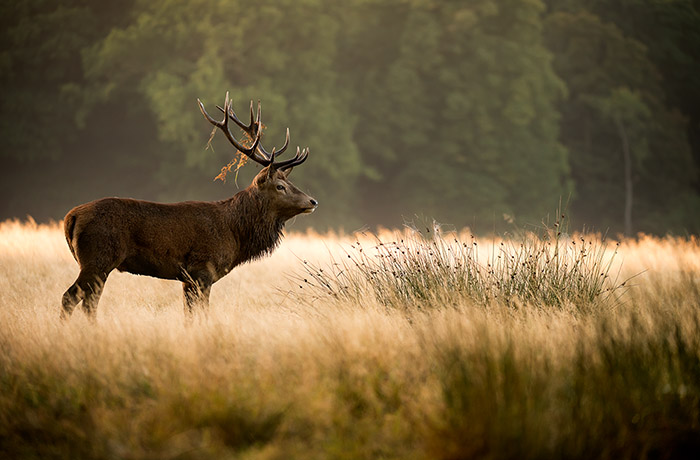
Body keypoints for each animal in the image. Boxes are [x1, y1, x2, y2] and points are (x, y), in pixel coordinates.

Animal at [60, 93, 317, 320]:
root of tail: (70, 217)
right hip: (98, 258)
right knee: (70, 298)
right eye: (280, 186)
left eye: (290, 182)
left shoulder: (187, 278)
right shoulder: (201, 270)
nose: (312, 201)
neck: (235, 234)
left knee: (88, 303)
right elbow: (199, 315)